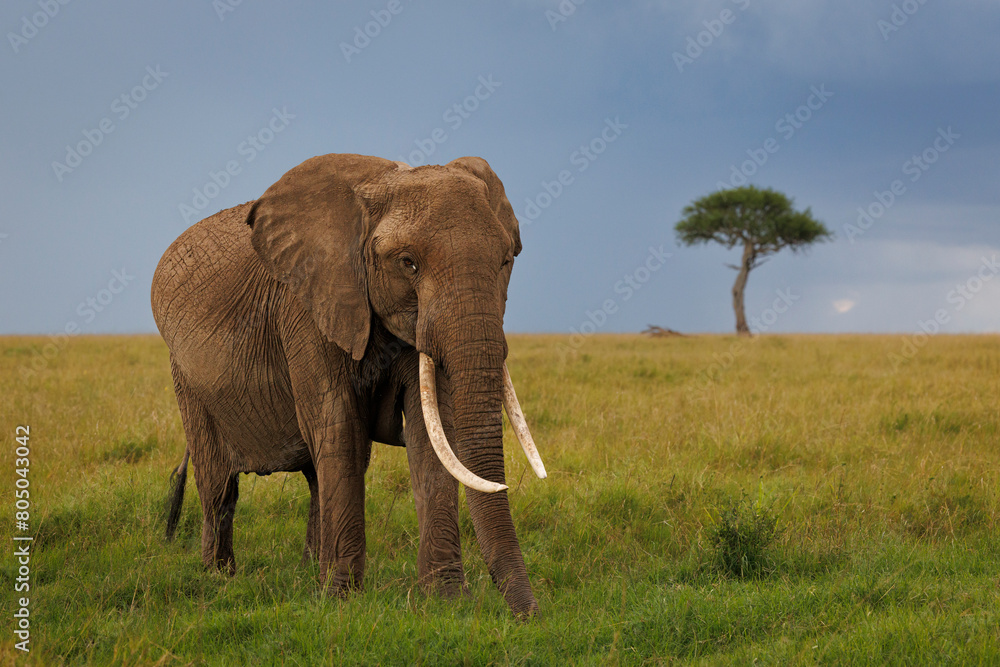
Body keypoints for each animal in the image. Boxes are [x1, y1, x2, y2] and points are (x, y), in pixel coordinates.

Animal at [151, 153, 547, 618]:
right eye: (408, 263)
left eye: (505, 261)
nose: (533, 617)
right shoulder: (307, 307)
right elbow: (340, 429)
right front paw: (340, 601)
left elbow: (432, 437)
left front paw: (446, 602)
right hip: (186, 377)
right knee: (217, 482)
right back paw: (220, 578)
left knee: (313, 476)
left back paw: (307, 571)